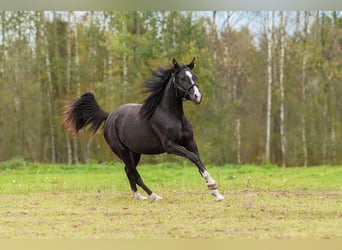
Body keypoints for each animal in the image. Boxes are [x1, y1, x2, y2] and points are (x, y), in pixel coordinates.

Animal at [63, 58, 224, 201]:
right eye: (182, 78)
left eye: (194, 77)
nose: (197, 97)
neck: (173, 115)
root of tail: (109, 117)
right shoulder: (170, 146)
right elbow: (193, 157)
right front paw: (212, 185)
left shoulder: (190, 142)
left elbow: (198, 161)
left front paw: (216, 194)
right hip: (123, 151)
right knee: (134, 173)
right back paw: (154, 196)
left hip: (135, 152)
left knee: (128, 171)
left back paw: (138, 196)